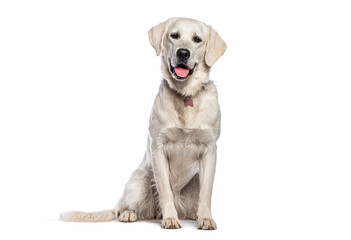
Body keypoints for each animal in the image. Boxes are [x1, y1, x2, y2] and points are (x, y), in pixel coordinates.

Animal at [60, 17, 227, 230]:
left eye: (197, 39)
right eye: (174, 36)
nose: (183, 52)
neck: (185, 95)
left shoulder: (209, 150)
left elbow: (206, 192)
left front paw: (206, 219)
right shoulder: (158, 148)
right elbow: (165, 191)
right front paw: (170, 219)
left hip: (192, 183)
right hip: (140, 182)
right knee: (123, 208)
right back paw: (130, 214)